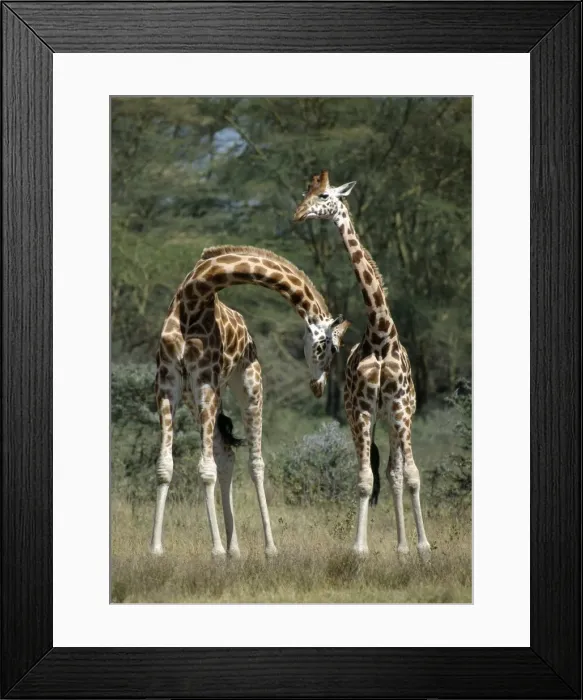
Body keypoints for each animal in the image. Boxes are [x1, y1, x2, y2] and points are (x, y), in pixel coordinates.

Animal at [151, 244, 349, 559]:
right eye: (330, 347)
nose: (318, 386)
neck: (195, 296)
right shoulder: (168, 383)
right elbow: (165, 466)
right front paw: (157, 549)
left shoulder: (204, 380)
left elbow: (205, 470)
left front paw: (216, 550)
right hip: (196, 398)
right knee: (225, 454)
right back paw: (234, 550)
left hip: (249, 388)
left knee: (255, 464)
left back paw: (268, 548)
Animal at [294, 171, 431, 561]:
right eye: (305, 193)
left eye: (323, 195)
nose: (298, 214)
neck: (381, 336)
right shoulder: (362, 410)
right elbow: (365, 479)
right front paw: (359, 550)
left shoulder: (400, 407)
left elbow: (411, 475)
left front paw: (424, 548)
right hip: (373, 417)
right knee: (384, 471)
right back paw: (399, 548)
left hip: (397, 418)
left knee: (397, 472)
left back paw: (406, 549)